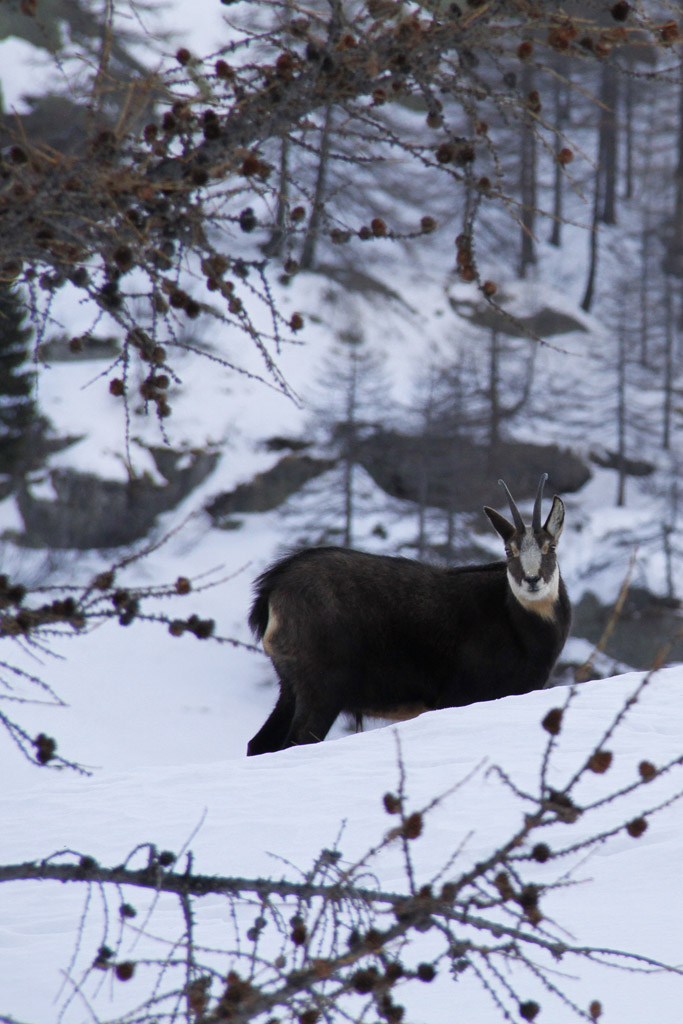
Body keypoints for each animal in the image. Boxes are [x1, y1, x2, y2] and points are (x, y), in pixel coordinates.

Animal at [247, 473, 570, 755]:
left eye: (550, 547)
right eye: (509, 550)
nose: (531, 579)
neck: (519, 629)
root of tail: (273, 586)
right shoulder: (459, 696)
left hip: (290, 684)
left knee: (259, 743)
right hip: (321, 688)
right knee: (294, 742)